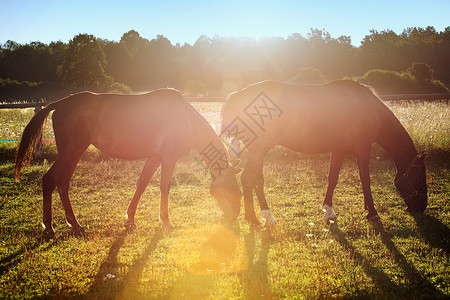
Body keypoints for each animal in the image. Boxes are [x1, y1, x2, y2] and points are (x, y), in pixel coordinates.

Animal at [14, 88, 243, 238]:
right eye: (231, 190)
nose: (234, 219)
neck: (185, 119)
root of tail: (60, 103)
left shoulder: (154, 157)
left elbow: (141, 184)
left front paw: (130, 219)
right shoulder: (169, 158)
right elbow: (164, 187)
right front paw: (166, 221)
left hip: (71, 153)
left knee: (62, 183)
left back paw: (72, 224)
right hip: (71, 152)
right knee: (51, 180)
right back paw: (52, 226)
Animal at [222, 79, 428, 225]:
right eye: (419, 175)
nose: (421, 207)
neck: (370, 109)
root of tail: (236, 95)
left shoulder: (339, 151)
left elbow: (333, 178)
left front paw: (328, 210)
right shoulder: (363, 149)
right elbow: (365, 180)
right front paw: (372, 212)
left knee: (255, 179)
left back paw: (262, 216)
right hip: (259, 149)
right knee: (248, 178)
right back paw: (257, 217)